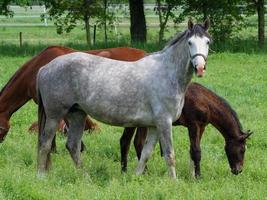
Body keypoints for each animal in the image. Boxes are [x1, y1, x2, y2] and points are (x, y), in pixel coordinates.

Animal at [36, 19, 211, 178]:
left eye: (208, 42)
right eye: (190, 42)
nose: (200, 68)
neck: (167, 73)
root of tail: (45, 68)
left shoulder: (154, 126)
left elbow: (146, 154)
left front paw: (135, 177)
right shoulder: (164, 122)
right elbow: (170, 155)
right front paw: (173, 182)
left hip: (77, 114)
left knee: (73, 146)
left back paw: (86, 177)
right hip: (54, 116)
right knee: (45, 144)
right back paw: (41, 176)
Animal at [120, 82, 253, 177]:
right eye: (242, 150)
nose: (238, 170)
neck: (205, 102)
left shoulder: (201, 127)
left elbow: (193, 150)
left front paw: (192, 175)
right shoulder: (193, 124)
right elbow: (196, 151)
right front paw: (198, 176)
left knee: (133, 142)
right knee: (129, 141)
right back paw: (135, 171)